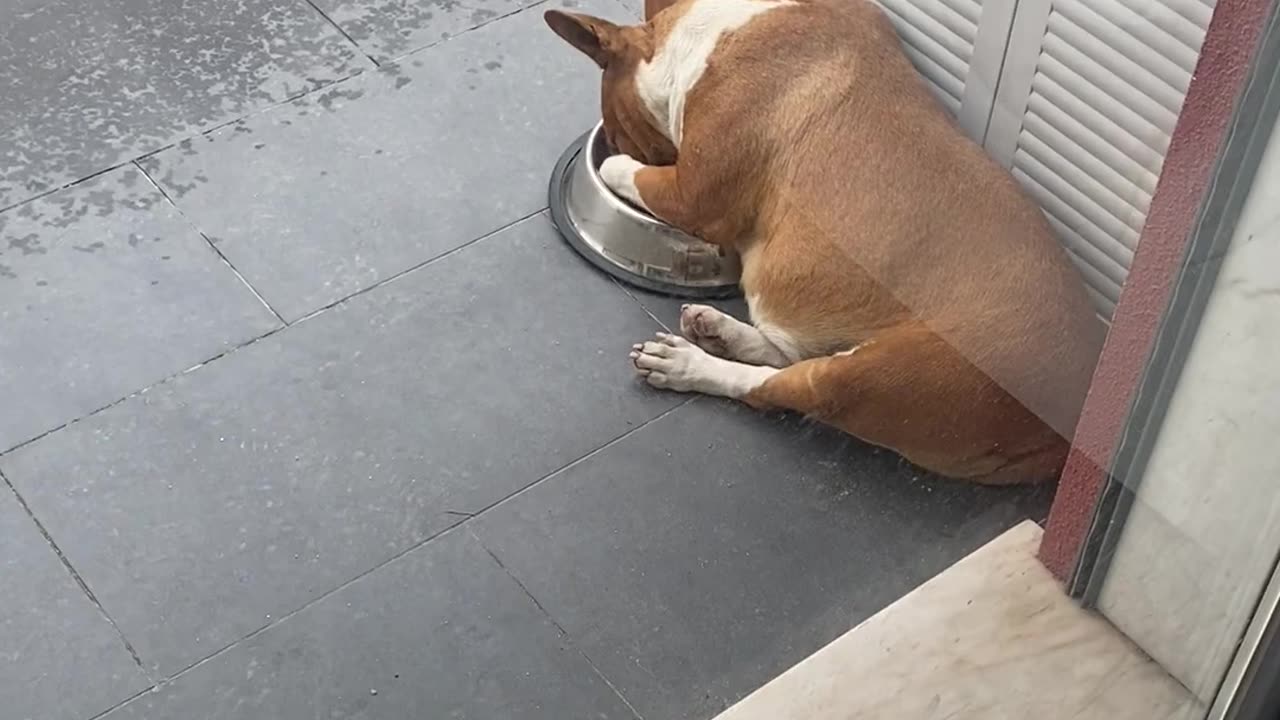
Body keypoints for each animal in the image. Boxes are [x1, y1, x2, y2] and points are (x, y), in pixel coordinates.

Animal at [545, 0, 1105, 484]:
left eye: (617, 131)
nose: (613, 142)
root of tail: (1063, 434)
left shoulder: (694, 197)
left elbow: (631, 175)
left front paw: (617, 166)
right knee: (785, 356)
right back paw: (718, 328)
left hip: (869, 379)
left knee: (773, 389)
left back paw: (687, 363)